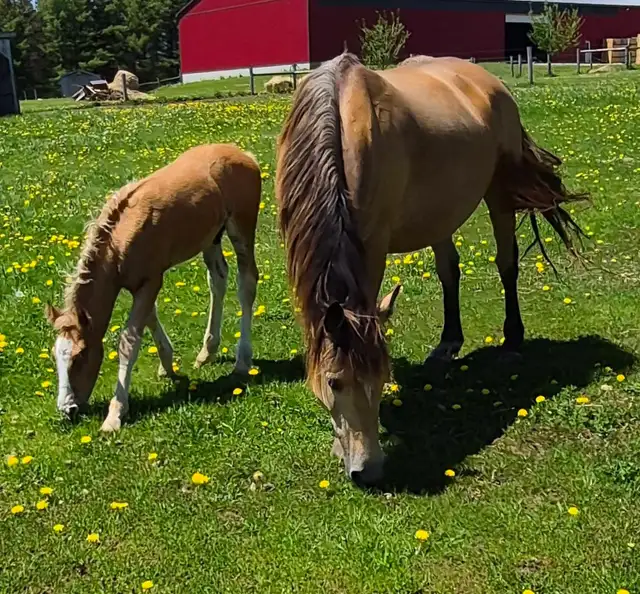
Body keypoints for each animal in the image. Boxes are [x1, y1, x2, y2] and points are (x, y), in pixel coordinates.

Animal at [46, 144, 261, 433]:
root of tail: (245, 154)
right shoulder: (140, 285)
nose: (67, 410)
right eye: (56, 356)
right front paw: (167, 365)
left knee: (246, 283)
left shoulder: (151, 281)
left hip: (242, 227)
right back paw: (206, 353)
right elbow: (150, 317)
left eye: (80, 357)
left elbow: (129, 341)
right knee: (217, 279)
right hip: (211, 238)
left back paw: (242, 361)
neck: (119, 239)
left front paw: (115, 414)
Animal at [276, 53, 587, 486]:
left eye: (384, 377)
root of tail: (488, 81)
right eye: (335, 382)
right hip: (441, 212)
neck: (338, 120)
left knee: (507, 264)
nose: (368, 471)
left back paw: (512, 340)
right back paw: (448, 342)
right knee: (448, 271)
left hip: (499, 194)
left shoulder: (372, 244)